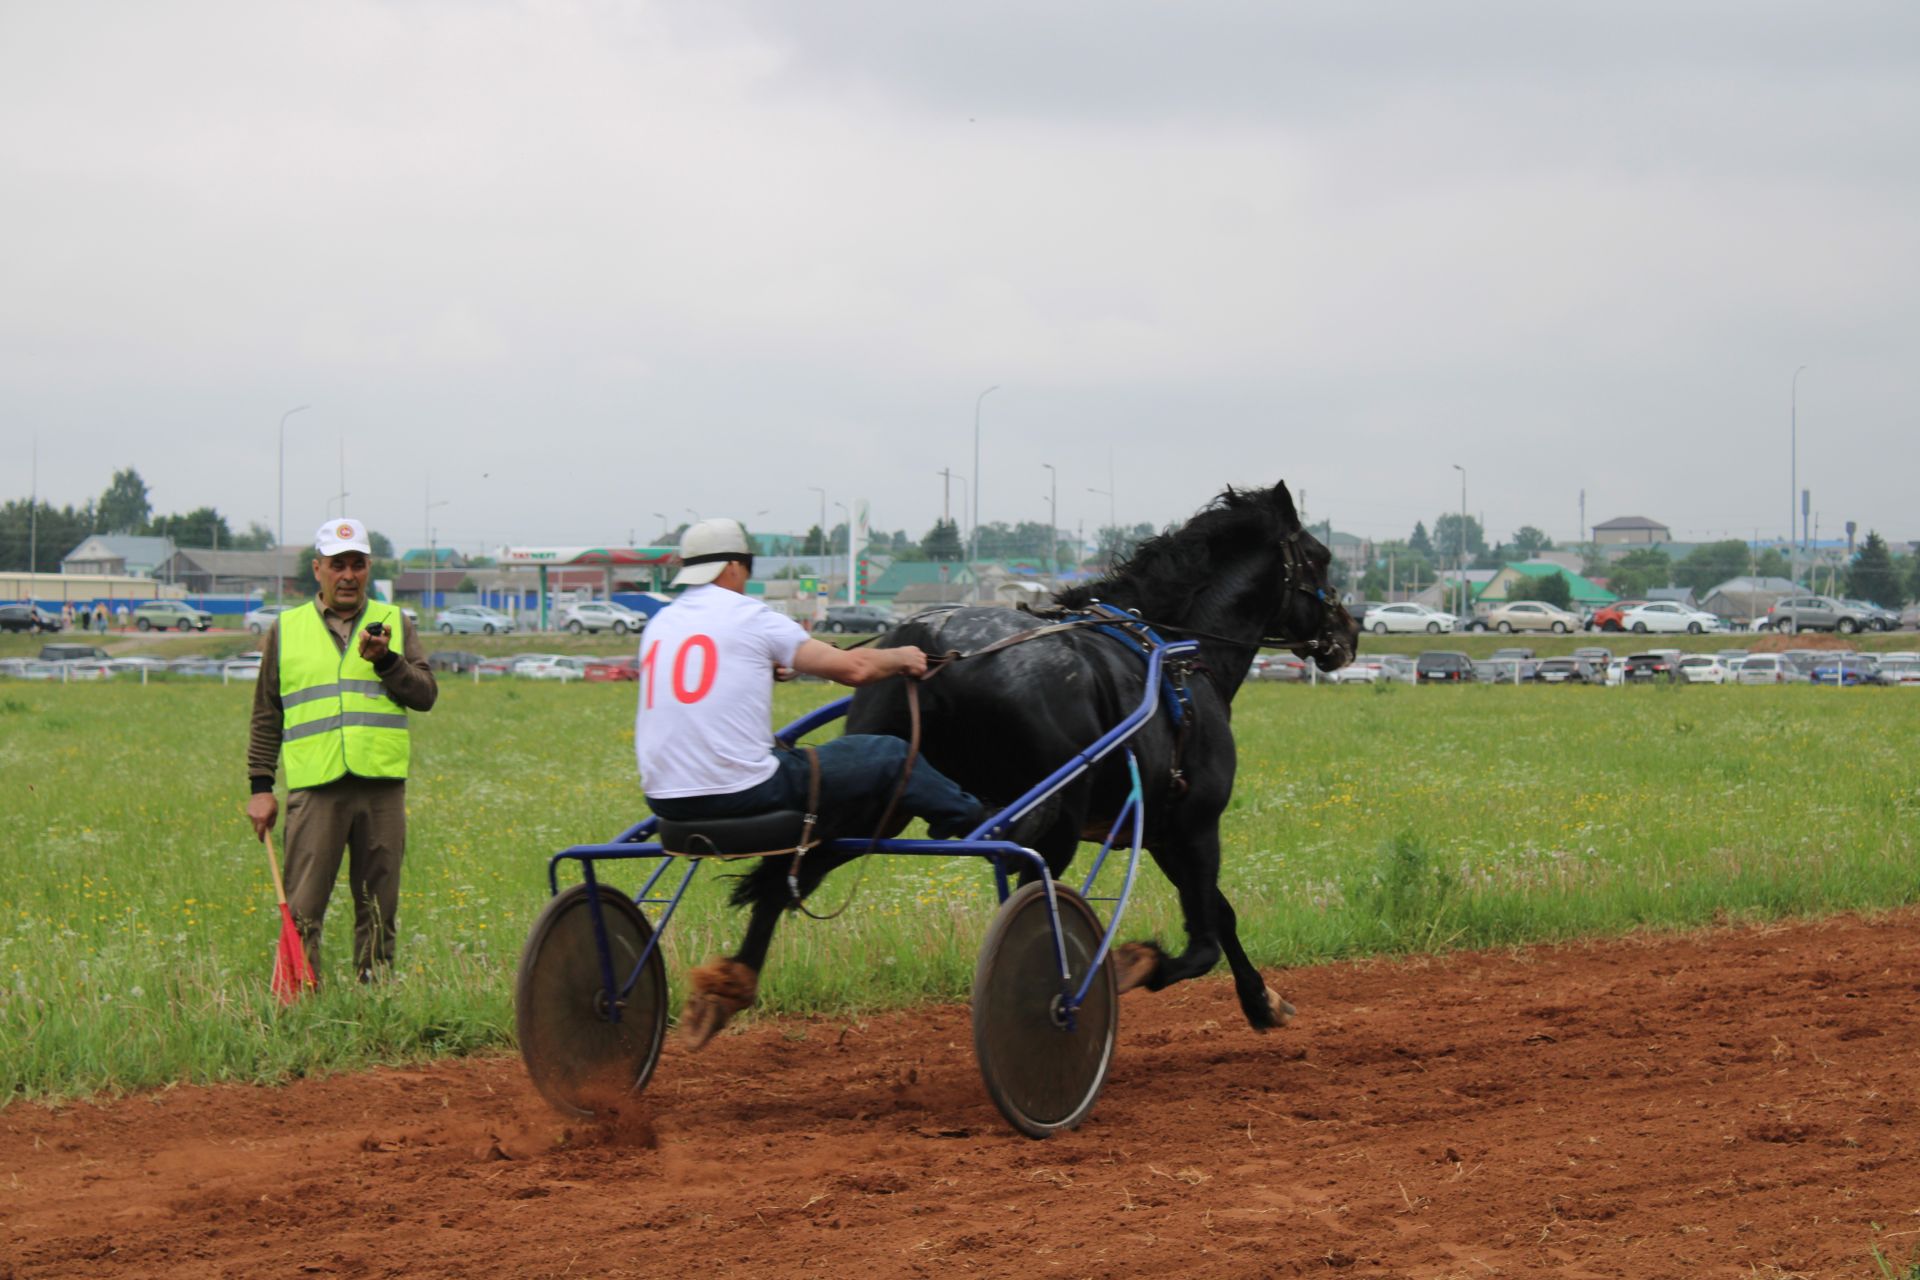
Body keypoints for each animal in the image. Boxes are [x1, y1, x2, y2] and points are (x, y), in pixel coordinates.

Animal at [683, 477, 1359, 1043]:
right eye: (1322, 559)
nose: (1349, 634)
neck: (1175, 652)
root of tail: (933, 645)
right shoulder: (1195, 824)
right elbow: (1204, 940)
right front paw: (1132, 964)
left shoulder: (1167, 830)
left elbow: (1220, 914)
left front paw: (1264, 1002)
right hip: (1048, 821)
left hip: (883, 796)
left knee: (794, 868)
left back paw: (728, 987)